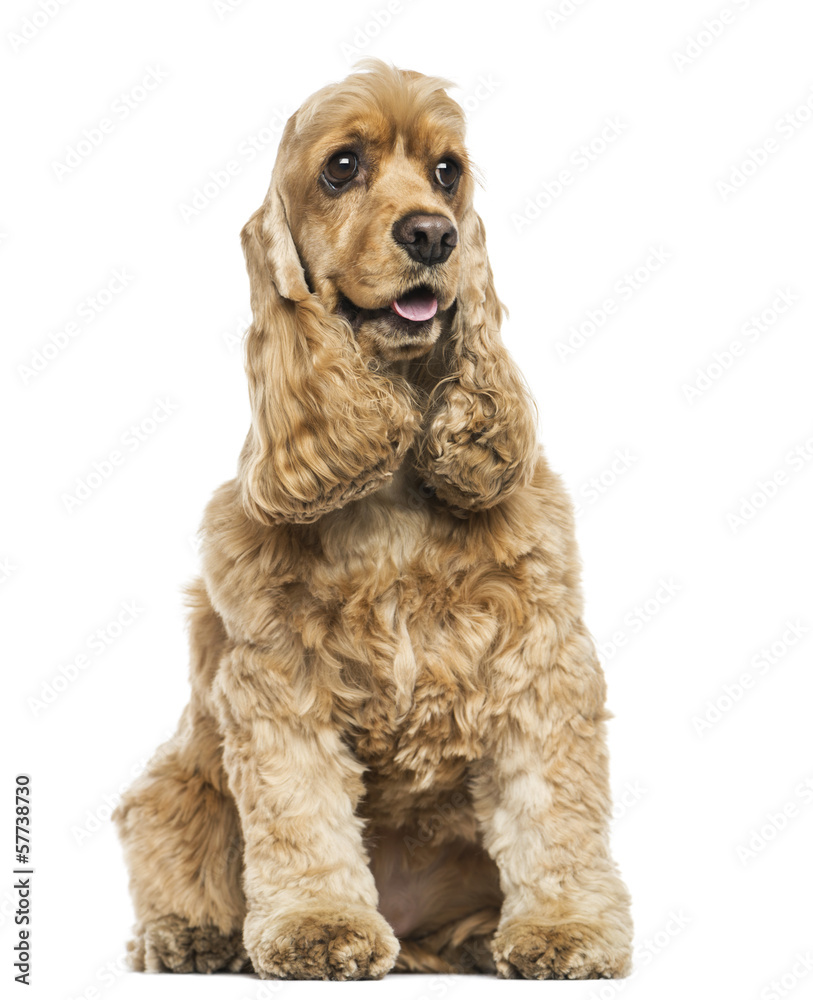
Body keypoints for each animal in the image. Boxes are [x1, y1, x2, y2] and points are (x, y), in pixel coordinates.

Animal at [116, 60, 636, 984]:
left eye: (446, 171)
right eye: (341, 167)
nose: (433, 235)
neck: (390, 488)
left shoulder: (538, 657)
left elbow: (552, 807)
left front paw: (564, 928)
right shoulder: (277, 678)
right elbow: (300, 813)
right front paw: (317, 926)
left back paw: (476, 941)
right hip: (177, 779)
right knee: (173, 849)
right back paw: (191, 937)